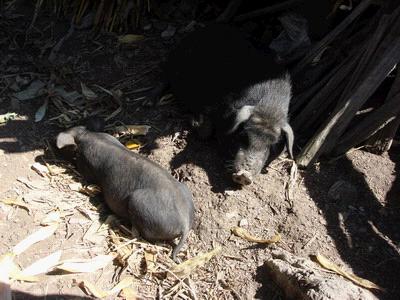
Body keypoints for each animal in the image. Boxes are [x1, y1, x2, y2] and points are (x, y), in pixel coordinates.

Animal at [156, 23, 294, 184]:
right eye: (244, 135)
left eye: (272, 145)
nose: (244, 175)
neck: (269, 108)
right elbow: (205, 132)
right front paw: (195, 122)